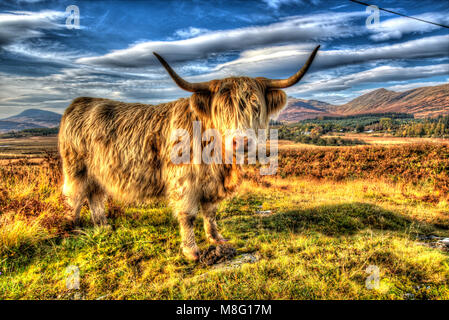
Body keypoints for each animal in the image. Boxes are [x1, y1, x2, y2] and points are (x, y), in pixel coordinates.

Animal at [58, 45, 318, 260]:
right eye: (221, 109)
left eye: (256, 106)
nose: (241, 141)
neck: (218, 159)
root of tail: (78, 104)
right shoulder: (184, 182)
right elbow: (188, 215)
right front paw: (191, 251)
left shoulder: (212, 184)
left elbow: (210, 213)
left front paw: (216, 238)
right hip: (76, 169)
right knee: (74, 197)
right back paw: (73, 228)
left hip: (97, 173)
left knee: (95, 196)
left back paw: (103, 226)